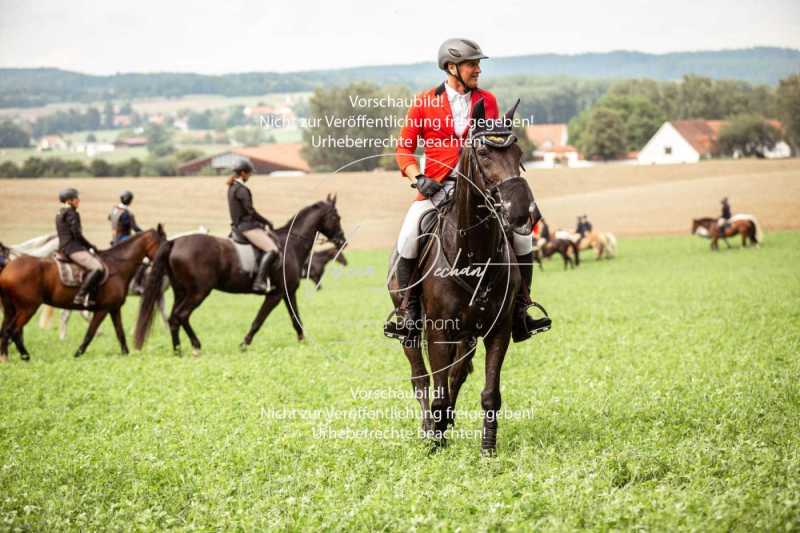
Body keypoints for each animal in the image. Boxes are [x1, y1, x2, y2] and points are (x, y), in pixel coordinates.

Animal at [0, 227, 166, 360]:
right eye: (162, 244)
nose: (165, 260)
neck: (117, 266)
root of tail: (8, 268)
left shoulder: (114, 309)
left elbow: (120, 333)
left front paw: (126, 354)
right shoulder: (102, 310)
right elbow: (90, 333)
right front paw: (78, 353)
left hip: (11, 309)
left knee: (6, 331)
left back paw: (6, 357)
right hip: (28, 308)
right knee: (14, 331)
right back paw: (24, 356)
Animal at [134, 194, 344, 354]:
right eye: (336, 217)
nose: (342, 240)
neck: (291, 244)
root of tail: (174, 242)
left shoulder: (288, 292)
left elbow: (296, 319)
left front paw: (303, 342)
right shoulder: (275, 295)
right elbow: (258, 320)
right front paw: (244, 344)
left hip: (181, 291)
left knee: (173, 319)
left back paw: (177, 350)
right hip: (199, 292)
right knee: (182, 315)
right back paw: (196, 346)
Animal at [390, 98, 544, 454]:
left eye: (519, 153)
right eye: (484, 153)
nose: (523, 214)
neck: (472, 251)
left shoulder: (497, 330)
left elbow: (489, 393)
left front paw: (487, 449)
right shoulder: (438, 331)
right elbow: (437, 389)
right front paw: (436, 444)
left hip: (468, 335)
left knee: (456, 376)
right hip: (411, 329)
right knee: (421, 379)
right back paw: (429, 428)